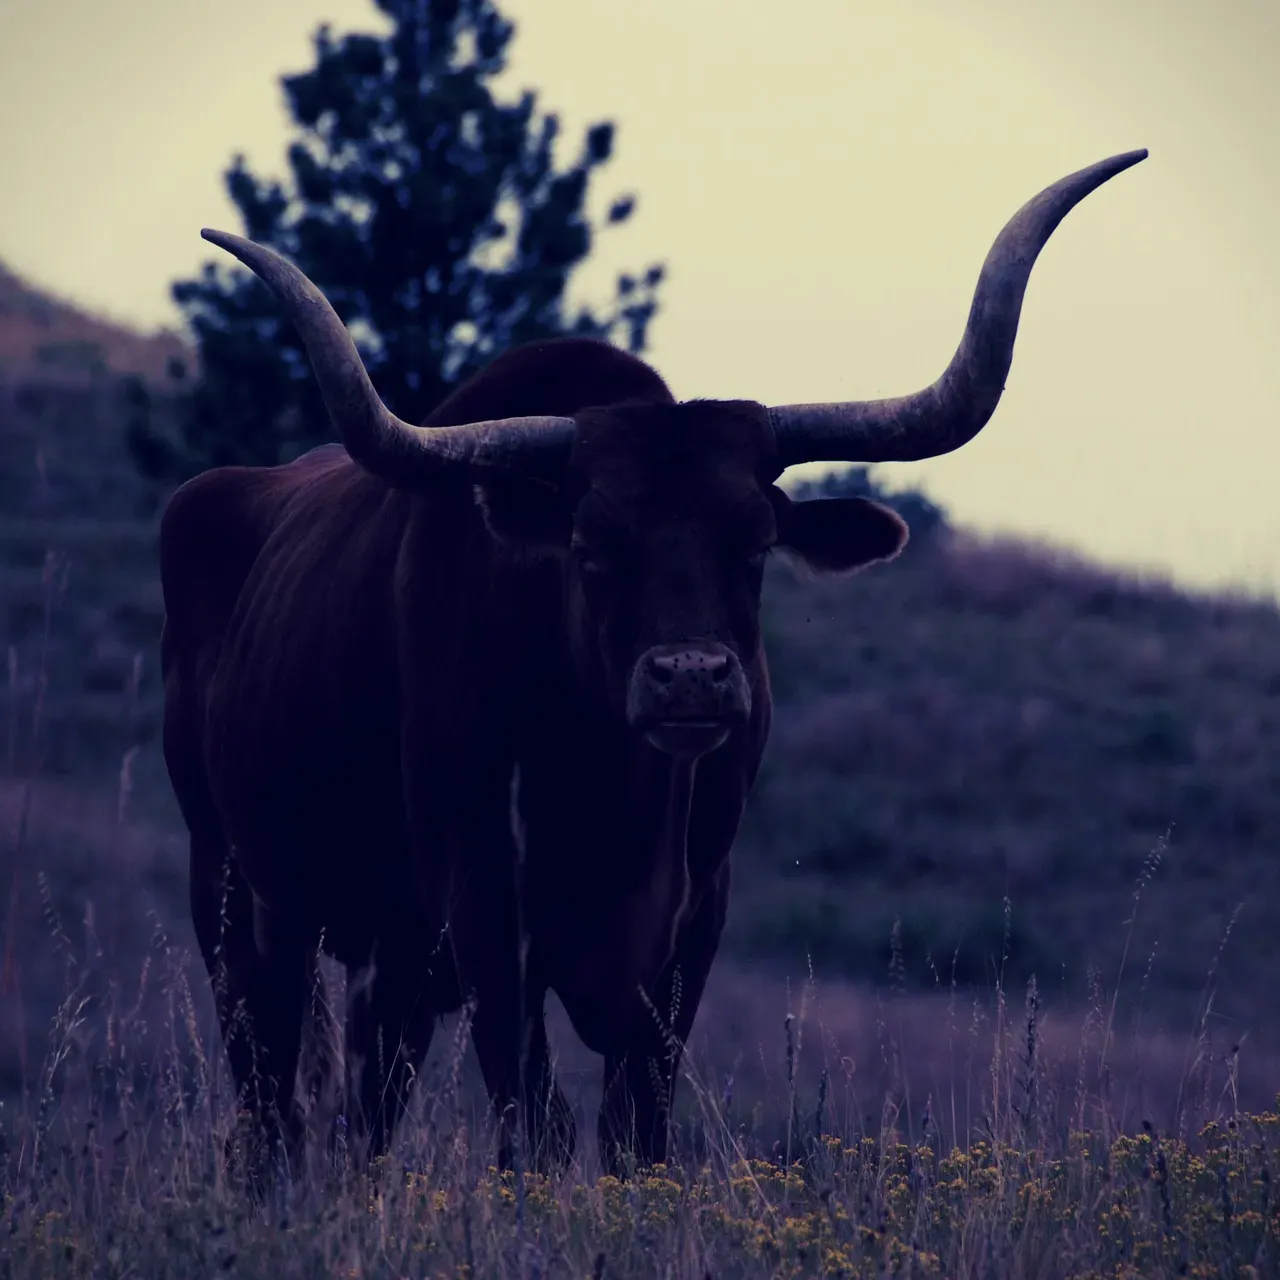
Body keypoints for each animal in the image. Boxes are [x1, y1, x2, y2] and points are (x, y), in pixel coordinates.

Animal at [158, 149, 1146, 1183]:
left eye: (754, 543)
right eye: (591, 547)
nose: (691, 678)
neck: (614, 797)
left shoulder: (690, 925)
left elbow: (639, 1129)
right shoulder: (486, 909)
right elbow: (536, 1121)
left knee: (365, 1099)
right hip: (236, 892)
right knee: (271, 1095)